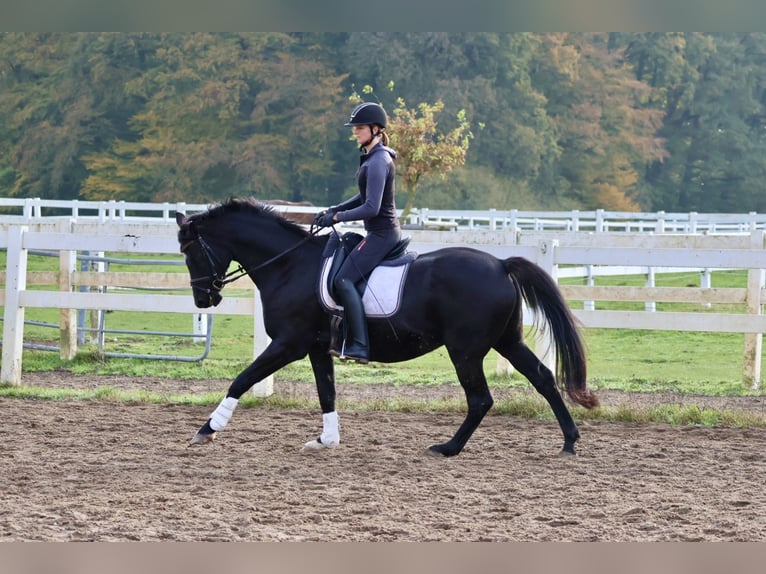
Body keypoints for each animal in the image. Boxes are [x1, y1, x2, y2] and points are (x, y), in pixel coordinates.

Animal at [176, 198, 600, 460]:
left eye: (190, 251)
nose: (203, 299)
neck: (289, 265)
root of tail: (500, 264)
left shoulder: (288, 343)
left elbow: (243, 379)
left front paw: (208, 428)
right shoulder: (315, 348)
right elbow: (326, 393)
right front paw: (327, 440)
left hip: (465, 350)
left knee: (481, 399)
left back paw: (448, 448)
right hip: (505, 342)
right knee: (543, 378)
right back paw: (569, 441)